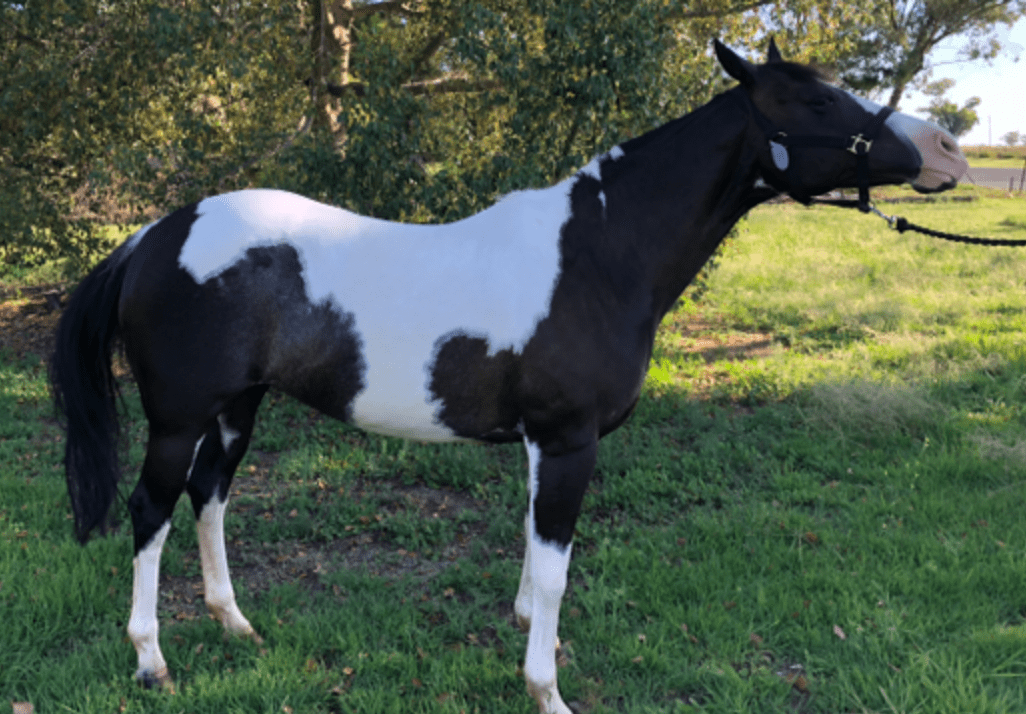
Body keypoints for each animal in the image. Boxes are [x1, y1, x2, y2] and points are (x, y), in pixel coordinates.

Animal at [50, 39, 967, 713]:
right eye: (816, 103)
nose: (947, 149)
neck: (598, 257)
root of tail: (153, 235)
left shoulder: (540, 445)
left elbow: (534, 549)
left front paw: (534, 634)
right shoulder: (566, 442)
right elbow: (557, 562)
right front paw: (546, 688)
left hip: (238, 409)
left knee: (209, 498)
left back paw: (236, 626)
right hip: (177, 418)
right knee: (151, 512)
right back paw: (152, 662)